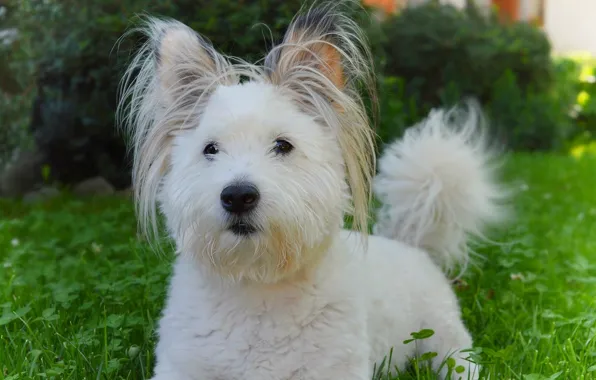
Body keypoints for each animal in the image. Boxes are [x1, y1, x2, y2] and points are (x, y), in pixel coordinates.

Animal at [117, 1, 508, 378]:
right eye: (210, 149)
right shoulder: (178, 368)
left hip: (444, 335)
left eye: (283, 145)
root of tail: (409, 243)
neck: (257, 286)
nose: (238, 196)